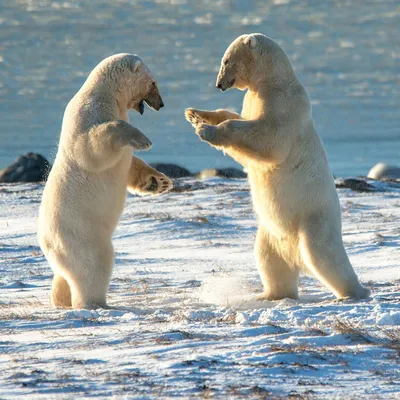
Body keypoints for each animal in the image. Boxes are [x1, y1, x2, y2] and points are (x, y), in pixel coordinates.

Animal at [38, 53, 173, 310]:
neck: (106, 94)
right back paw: (96, 303)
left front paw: (158, 182)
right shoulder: (88, 114)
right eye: (153, 83)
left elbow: (129, 165)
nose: (161, 104)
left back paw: (60, 299)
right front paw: (143, 139)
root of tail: (46, 243)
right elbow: (91, 146)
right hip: (81, 233)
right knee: (94, 265)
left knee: (64, 275)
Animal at [186, 34, 370, 300]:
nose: (219, 84)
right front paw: (196, 114)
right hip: (271, 234)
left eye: (226, 60)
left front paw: (206, 129)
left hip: (314, 219)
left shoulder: (283, 103)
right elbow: (241, 127)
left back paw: (354, 291)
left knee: (324, 256)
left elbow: (268, 138)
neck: (273, 79)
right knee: (268, 259)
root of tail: (295, 255)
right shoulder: (254, 99)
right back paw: (271, 294)